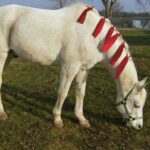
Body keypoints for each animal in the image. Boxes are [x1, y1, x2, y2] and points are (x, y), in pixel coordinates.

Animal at [0, 2, 148, 129]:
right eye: (136, 104)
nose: (138, 126)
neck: (93, 35)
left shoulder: (83, 68)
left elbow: (80, 92)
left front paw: (81, 119)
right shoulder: (69, 67)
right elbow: (63, 92)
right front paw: (57, 119)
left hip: (9, 56)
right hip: (2, 56)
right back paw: (2, 114)